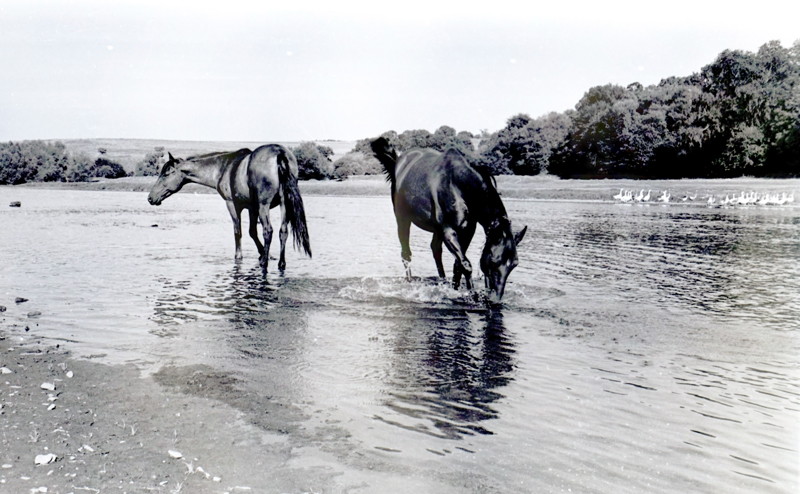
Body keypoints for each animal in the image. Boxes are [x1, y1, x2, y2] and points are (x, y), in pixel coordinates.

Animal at [148, 143, 310, 274]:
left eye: (166, 173)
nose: (150, 198)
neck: (222, 168)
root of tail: (279, 153)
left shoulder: (233, 204)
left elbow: (238, 232)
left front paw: (241, 257)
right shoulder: (252, 208)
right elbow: (252, 232)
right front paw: (265, 254)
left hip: (264, 205)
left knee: (268, 230)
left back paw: (264, 263)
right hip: (284, 204)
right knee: (283, 231)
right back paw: (281, 263)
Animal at [372, 137, 528, 302]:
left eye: (514, 264)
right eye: (493, 261)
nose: (495, 299)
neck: (459, 186)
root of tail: (398, 162)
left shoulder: (467, 231)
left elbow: (458, 265)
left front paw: (455, 289)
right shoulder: (448, 231)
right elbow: (465, 264)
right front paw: (473, 295)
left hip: (436, 230)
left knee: (435, 250)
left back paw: (443, 282)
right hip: (402, 219)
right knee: (406, 254)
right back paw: (410, 283)